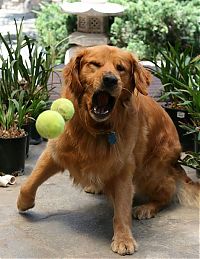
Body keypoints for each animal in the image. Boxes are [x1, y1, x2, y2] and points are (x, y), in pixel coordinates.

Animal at [17, 44, 200, 256]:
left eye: (121, 68)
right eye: (95, 64)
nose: (110, 79)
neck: (94, 129)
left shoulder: (123, 168)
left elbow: (122, 208)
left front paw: (124, 238)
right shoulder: (55, 151)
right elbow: (30, 182)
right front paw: (23, 203)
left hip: (149, 172)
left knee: (168, 193)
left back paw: (146, 208)